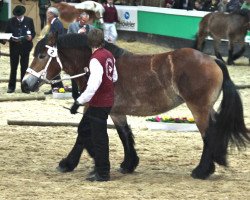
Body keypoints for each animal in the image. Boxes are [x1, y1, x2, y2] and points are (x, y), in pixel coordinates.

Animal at [22, 32, 250, 180]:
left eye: (42, 55)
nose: (25, 84)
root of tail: (212, 60)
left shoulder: (93, 107)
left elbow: (83, 132)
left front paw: (68, 163)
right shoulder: (116, 112)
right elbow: (124, 134)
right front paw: (128, 164)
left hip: (198, 108)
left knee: (209, 135)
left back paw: (202, 171)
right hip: (206, 108)